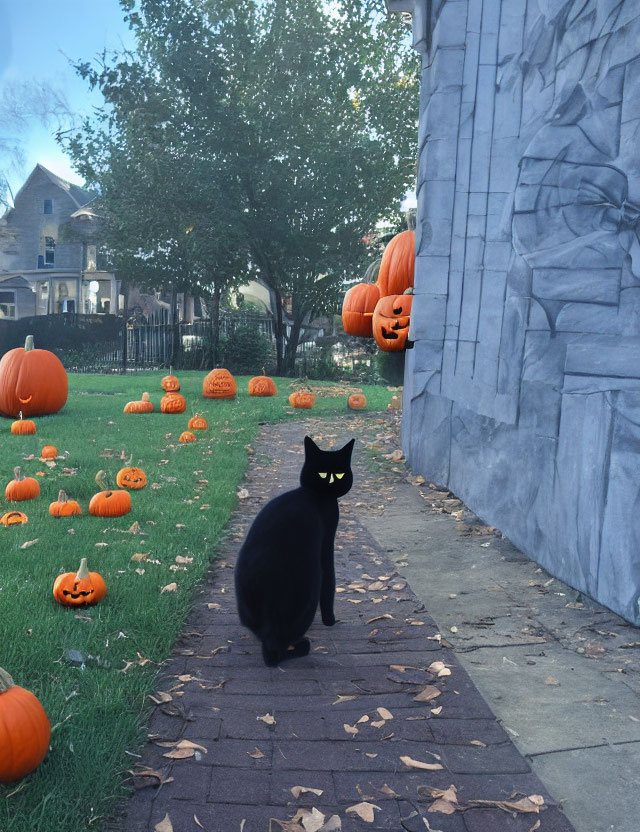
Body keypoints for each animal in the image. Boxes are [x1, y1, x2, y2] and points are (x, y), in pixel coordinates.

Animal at [235, 436, 356, 664]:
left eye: (339, 474)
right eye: (323, 473)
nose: (332, 482)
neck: (316, 494)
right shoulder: (327, 540)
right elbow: (330, 582)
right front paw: (330, 620)